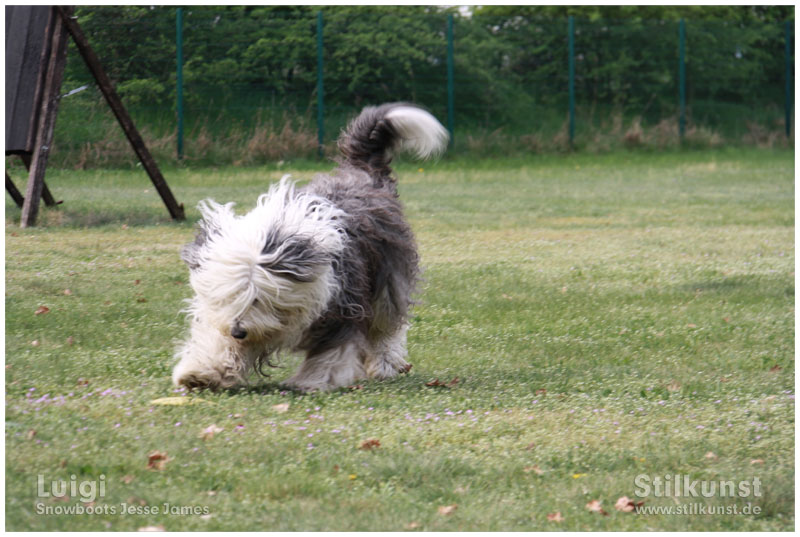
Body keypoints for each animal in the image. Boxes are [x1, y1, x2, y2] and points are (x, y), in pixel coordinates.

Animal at [172, 102, 446, 392]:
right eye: (228, 297)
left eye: (257, 298)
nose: (238, 331)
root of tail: (362, 170)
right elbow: (222, 344)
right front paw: (202, 372)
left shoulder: (343, 303)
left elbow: (333, 351)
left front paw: (313, 380)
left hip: (387, 279)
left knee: (385, 327)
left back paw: (384, 365)